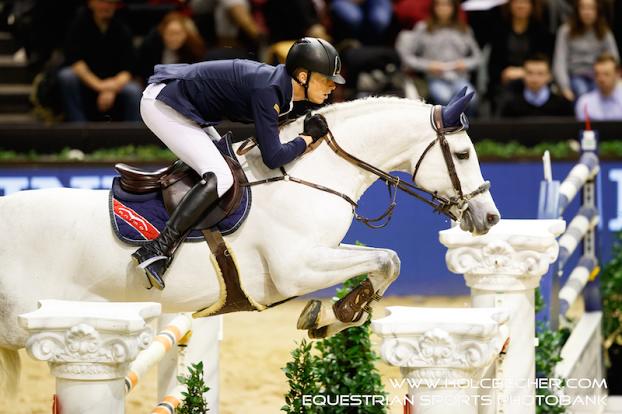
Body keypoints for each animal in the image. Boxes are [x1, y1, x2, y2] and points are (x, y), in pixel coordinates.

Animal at [0, 95, 500, 400]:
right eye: (462, 155)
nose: (489, 218)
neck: (310, 173)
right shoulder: (297, 268)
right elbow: (388, 259)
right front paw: (334, 312)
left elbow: (387, 263)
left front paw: (333, 315)